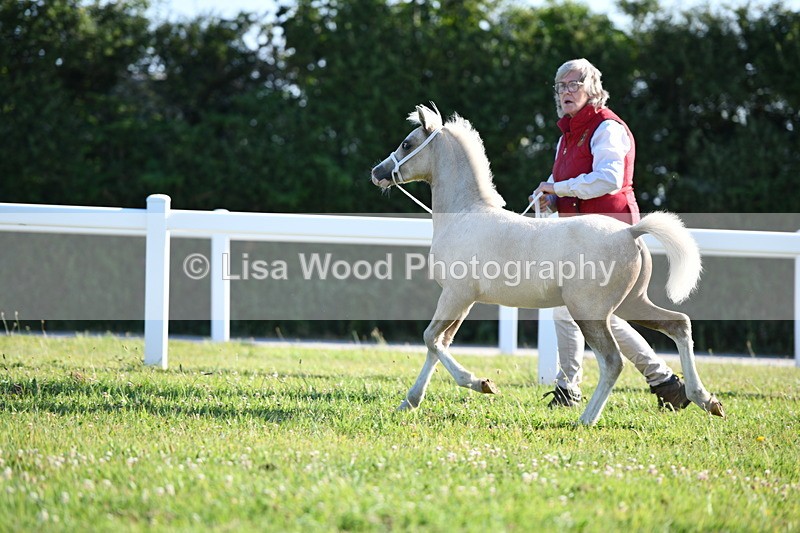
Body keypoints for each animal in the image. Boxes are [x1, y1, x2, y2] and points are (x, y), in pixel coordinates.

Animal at [370, 103, 724, 425]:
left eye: (407, 143)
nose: (377, 172)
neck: (465, 215)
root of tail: (630, 232)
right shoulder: (464, 301)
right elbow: (439, 343)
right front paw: (410, 402)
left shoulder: (456, 294)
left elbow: (431, 338)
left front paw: (481, 384)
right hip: (631, 304)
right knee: (678, 324)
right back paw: (704, 400)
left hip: (591, 312)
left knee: (613, 361)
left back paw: (586, 419)